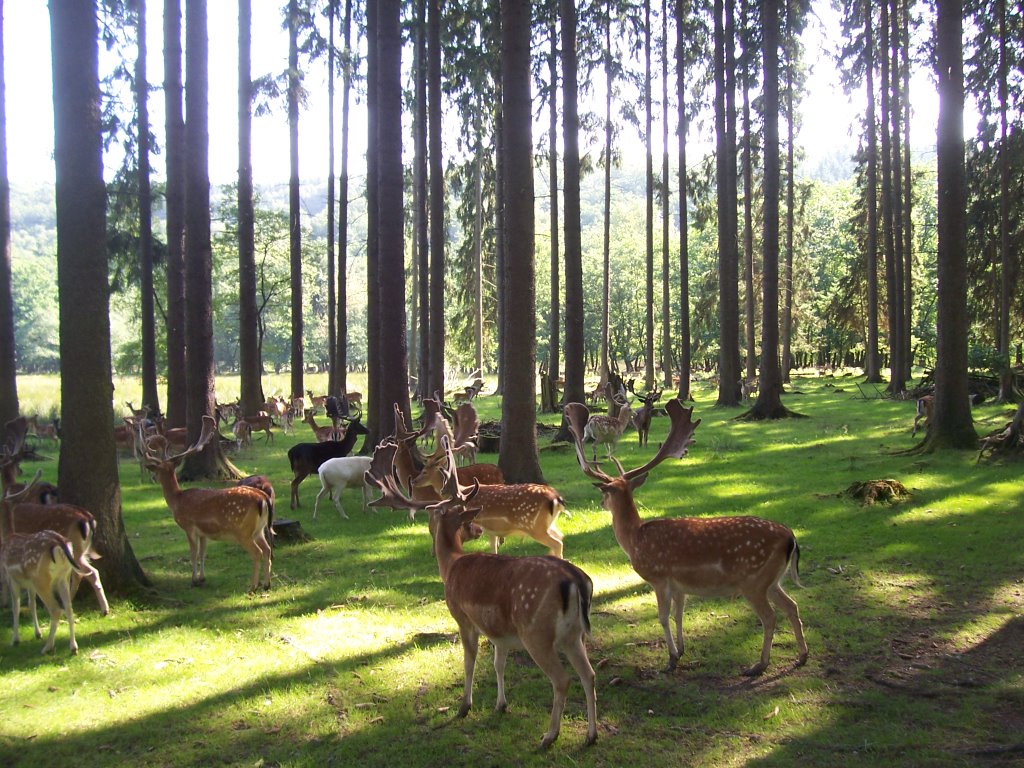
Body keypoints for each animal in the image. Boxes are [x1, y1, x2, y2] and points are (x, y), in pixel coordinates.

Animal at [142, 417, 276, 593]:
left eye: (157, 470)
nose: (153, 478)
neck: (177, 500)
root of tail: (263, 498)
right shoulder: (203, 533)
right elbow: (202, 553)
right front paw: (202, 578)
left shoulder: (189, 526)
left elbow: (193, 553)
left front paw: (193, 580)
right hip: (259, 529)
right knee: (267, 549)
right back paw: (266, 584)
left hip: (242, 531)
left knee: (257, 552)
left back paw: (253, 585)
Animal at [364, 442, 598, 749]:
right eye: (465, 517)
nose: (476, 529)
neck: (451, 565)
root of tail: (576, 581)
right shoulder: (500, 632)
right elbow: (498, 664)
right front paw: (501, 704)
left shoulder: (463, 617)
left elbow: (469, 661)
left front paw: (464, 706)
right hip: (574, 634)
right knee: (589, 674)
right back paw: (591, 735)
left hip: (536, 631)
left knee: (562, 679)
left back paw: (549, 736)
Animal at [565, 399, 802, 675]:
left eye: (605, 492)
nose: (602, 503)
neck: (634, 539)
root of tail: (791, 538)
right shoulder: (680, 585)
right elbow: (679, 615)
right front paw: (681, 650)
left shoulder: (659, 578)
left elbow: (662, 617)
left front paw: (670, 660)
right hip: (772, 581)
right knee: (792, 606)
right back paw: (802, 655)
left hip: (753, 581)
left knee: (770, 617)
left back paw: (759, 664)